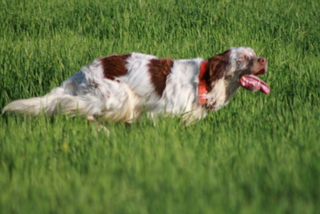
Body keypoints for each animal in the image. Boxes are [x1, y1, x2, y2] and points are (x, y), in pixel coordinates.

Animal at [2, 46, 268, 123]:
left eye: (255, 54)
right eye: (244, 57)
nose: (264, 60)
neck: (205, 82)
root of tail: (83, 71)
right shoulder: (161, 114)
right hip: (115, 97)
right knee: (67, 103)